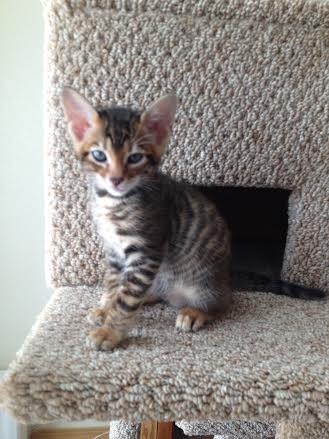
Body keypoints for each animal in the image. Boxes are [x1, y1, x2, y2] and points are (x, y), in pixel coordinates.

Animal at [61, 89, 231, 350]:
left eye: (135, 158)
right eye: (99, 155)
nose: (116, 179)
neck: (114, 203)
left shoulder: (146, 251)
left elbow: (127, 297)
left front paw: (110, 331)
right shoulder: (114, 251)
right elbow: (115, 285)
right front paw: (106, 309)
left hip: (204, 281)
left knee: (220, 304)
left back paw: (195, 312)